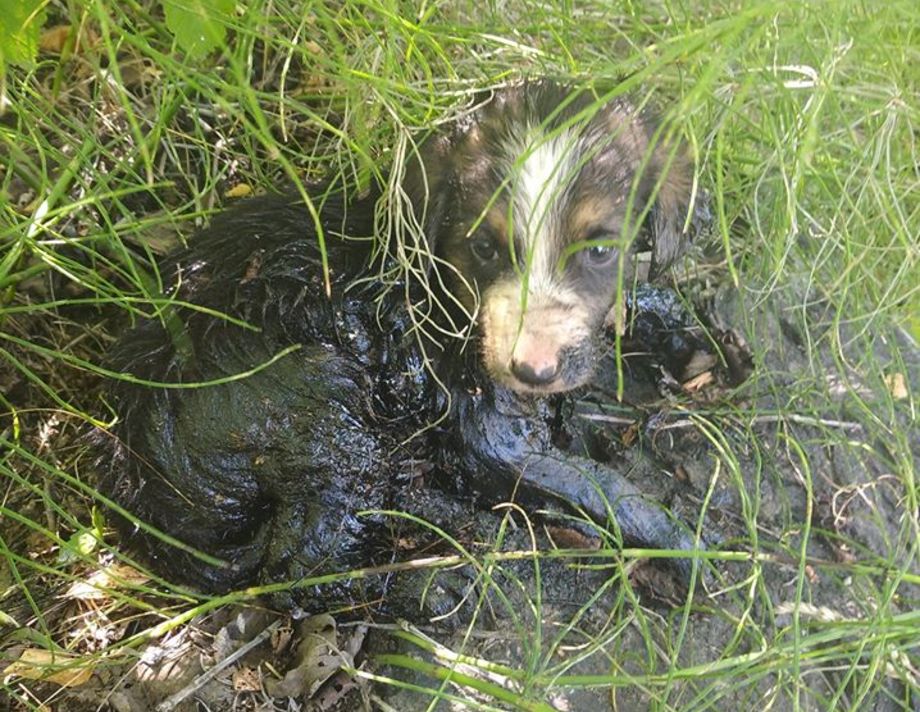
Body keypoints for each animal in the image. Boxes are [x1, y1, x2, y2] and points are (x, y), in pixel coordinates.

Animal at [100, 82, 700, 608]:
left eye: (599, 251)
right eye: (484, 247)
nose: (532, 370)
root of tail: (133, 472)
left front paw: (684, 325)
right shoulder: (487, 434)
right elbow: (602, 486)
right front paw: (694, 547)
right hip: (322, 412)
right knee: (302, 569)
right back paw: (430, 586)